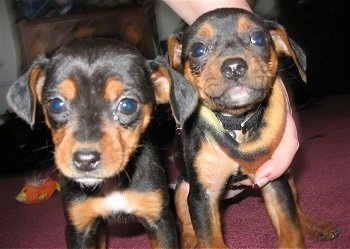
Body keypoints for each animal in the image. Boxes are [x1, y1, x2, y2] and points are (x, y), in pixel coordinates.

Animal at [166, 7, 340, 249]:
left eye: (258, 38)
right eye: (198, 49)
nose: (234, 67)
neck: (235, 124)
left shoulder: (273, 179)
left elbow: (291, 229)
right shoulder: (202, 196)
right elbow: (209, 238)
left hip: (287, 173)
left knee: (297, 210)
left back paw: (316, 226)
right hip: (183, 190)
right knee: (188, 226)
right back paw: (189, 241)